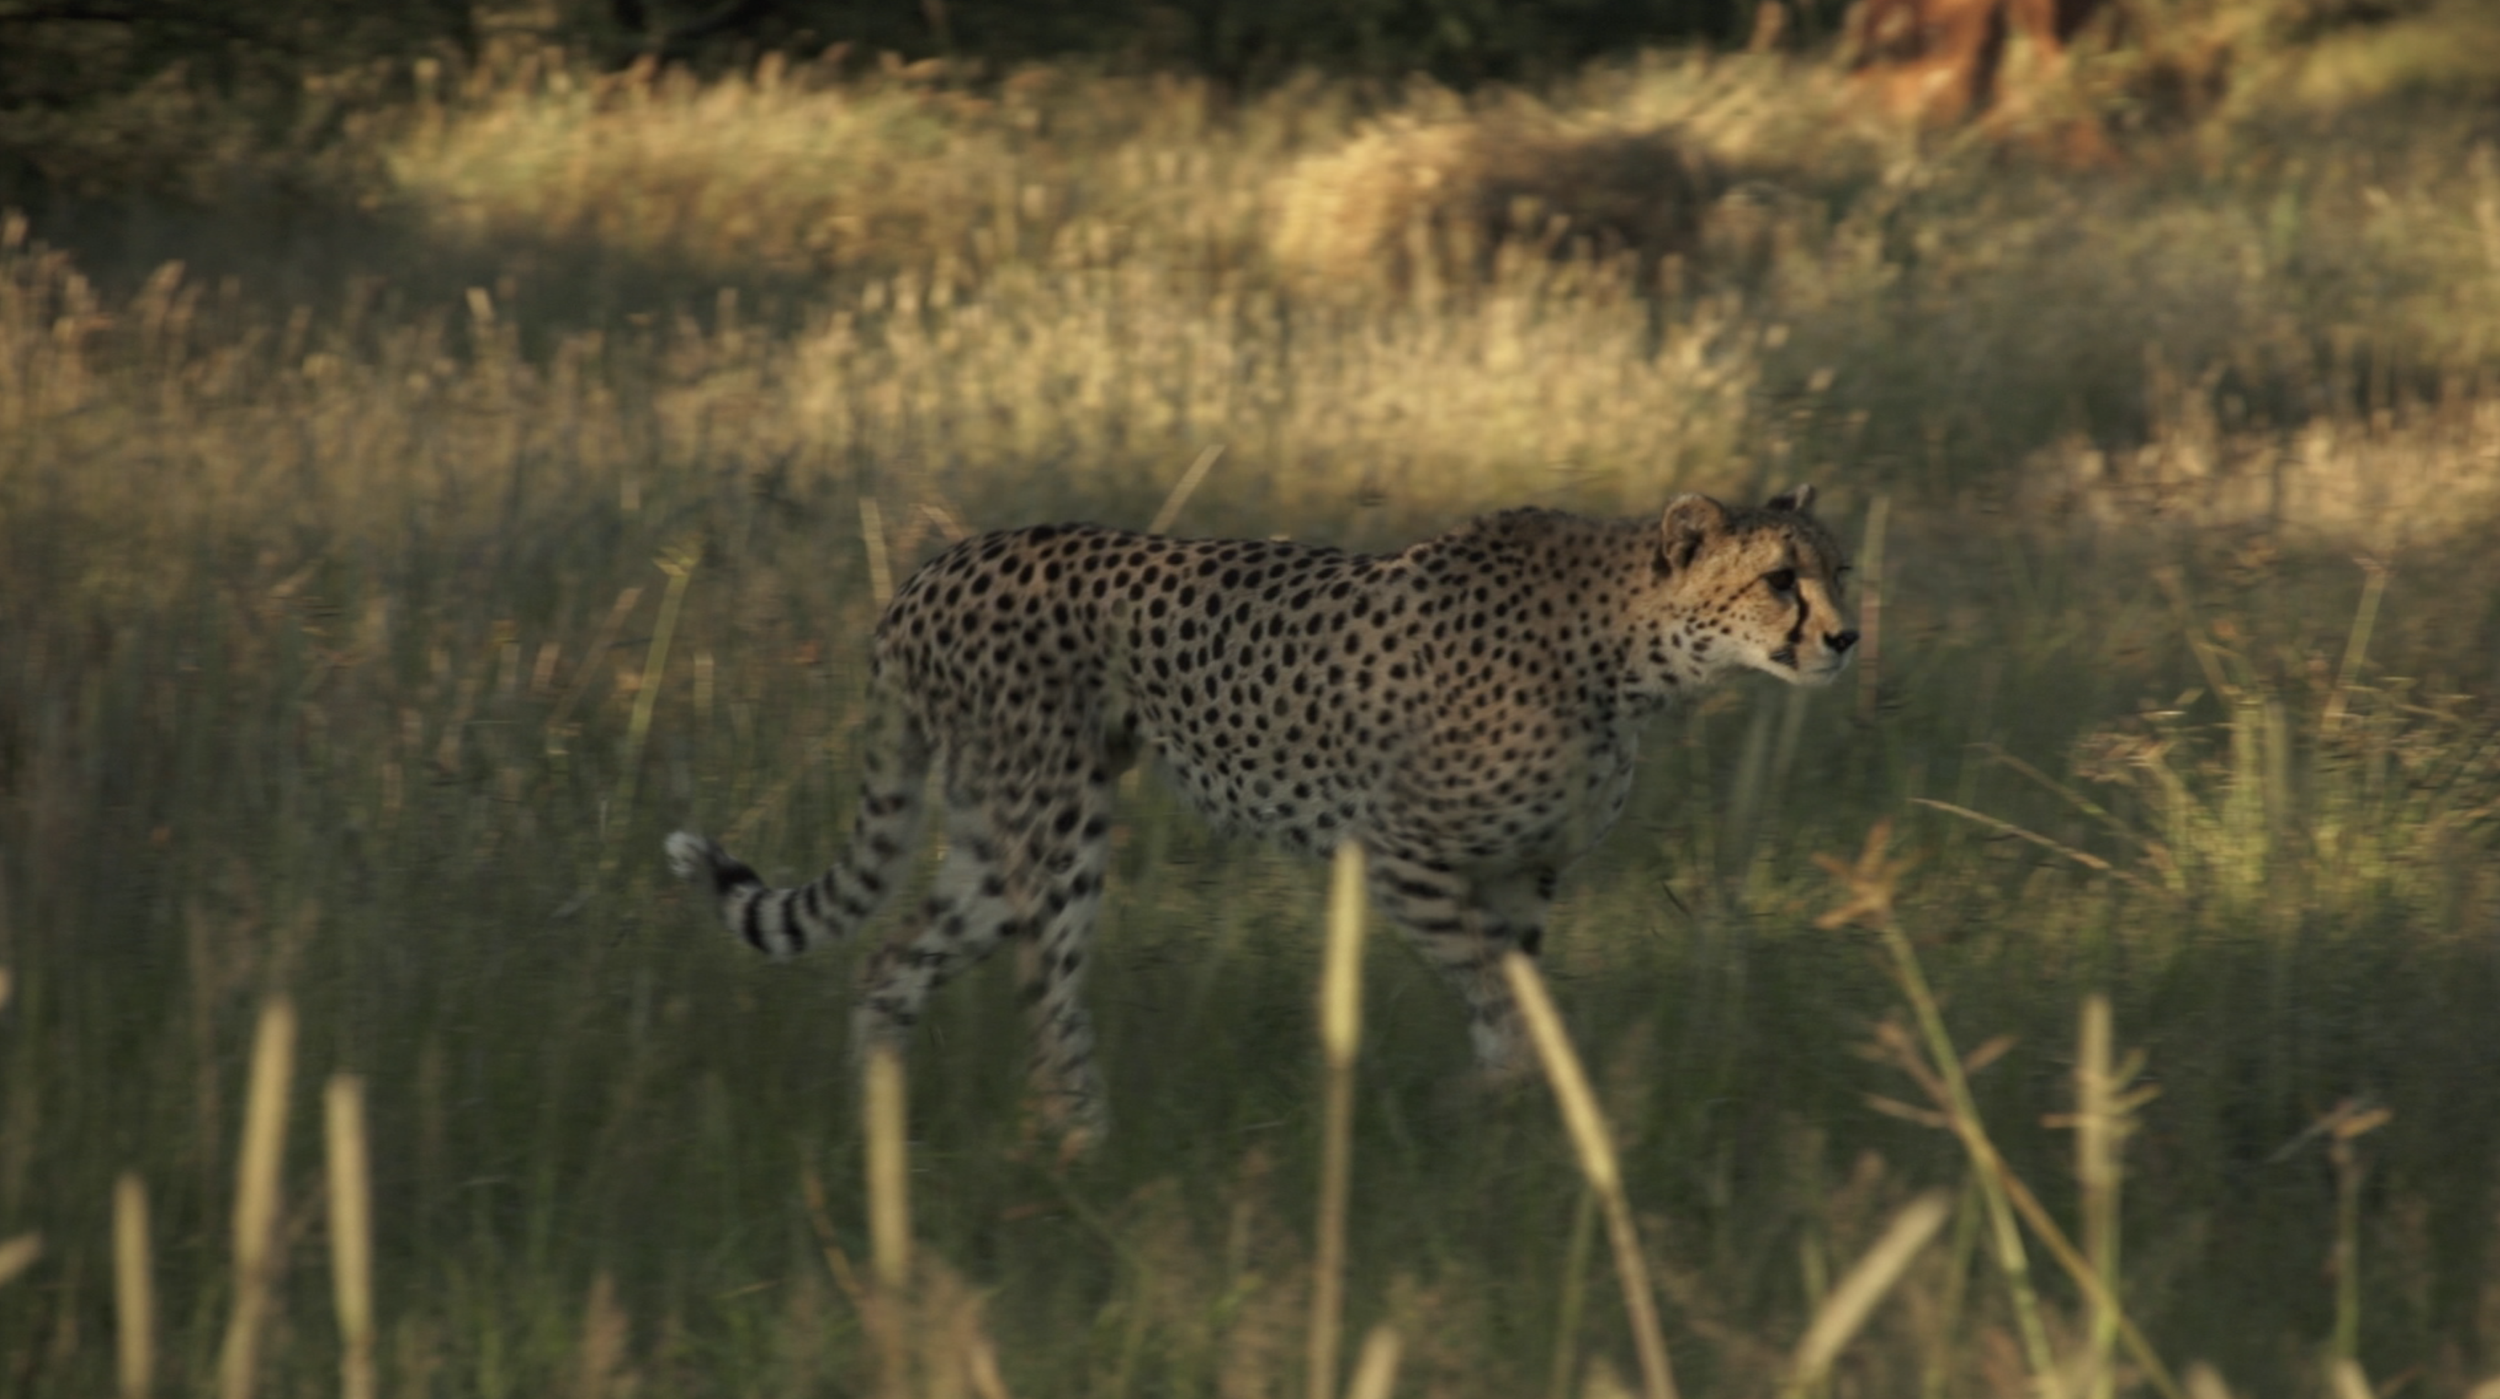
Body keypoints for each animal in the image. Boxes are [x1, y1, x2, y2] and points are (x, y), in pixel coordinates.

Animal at [666, 486, 1858, 1152]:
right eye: (1778, 579)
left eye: (1841, 567)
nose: (1846, 637)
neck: (1632, 652)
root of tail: (932, 567)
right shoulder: (1402, 853)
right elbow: (1503, 1008)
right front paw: (1502, 1107)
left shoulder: (1522, 875)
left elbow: (1517, 1003)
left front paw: (1512, 1128)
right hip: (1055, 827)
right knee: (1043, 993)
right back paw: (1079, 1144)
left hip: (992, 843)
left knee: (889, 965)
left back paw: (879, 1134)